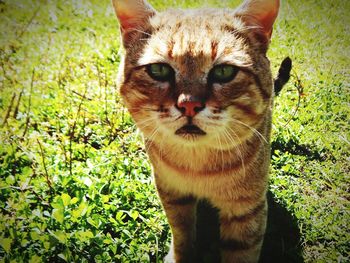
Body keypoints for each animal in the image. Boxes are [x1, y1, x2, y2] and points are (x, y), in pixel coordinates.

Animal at [111, 1, 288, 262]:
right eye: (158, 70)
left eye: (224, 72)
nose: (189, 105)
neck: (197, 167)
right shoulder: (172, 193)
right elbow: (182, 232)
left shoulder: (246, 211)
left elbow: (242, 251)